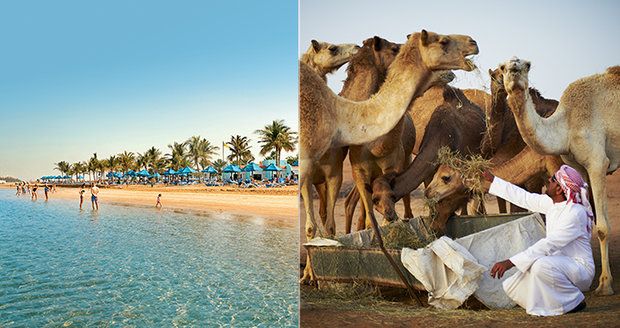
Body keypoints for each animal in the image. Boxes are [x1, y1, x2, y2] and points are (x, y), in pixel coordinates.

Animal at [502, 57, 616, 296]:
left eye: (527, 65)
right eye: (502, 68)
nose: (514, 68)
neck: (566, 125)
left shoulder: (597, 162)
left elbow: (602, 227)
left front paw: (604, 285)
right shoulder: (576, 166)